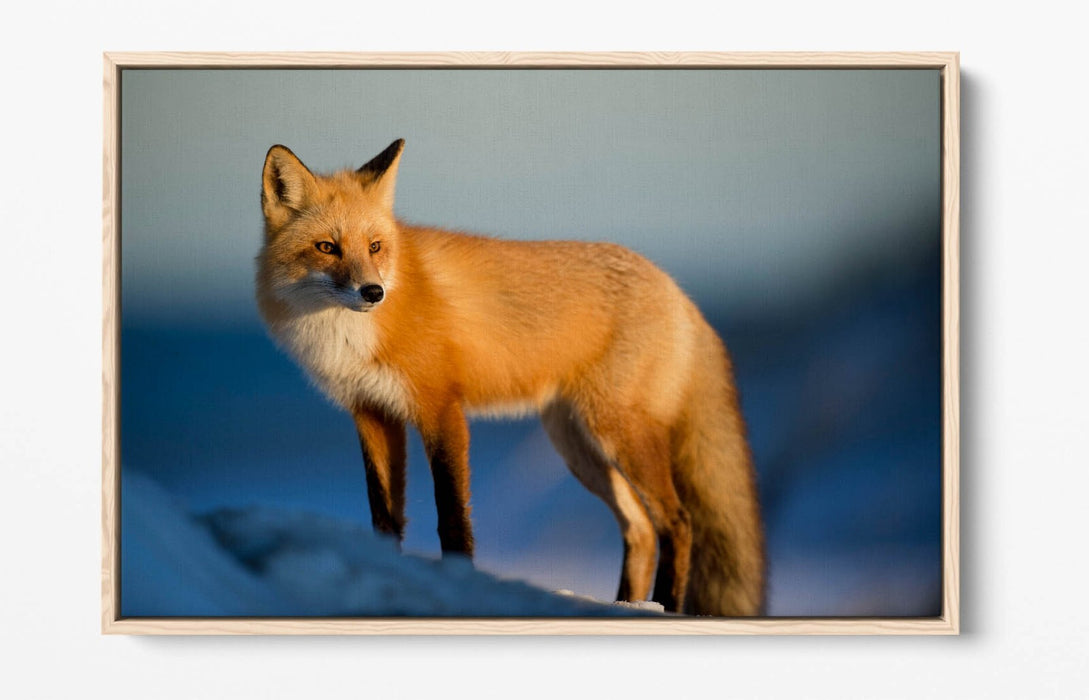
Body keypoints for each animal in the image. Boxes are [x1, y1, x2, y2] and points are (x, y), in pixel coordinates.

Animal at [256, 139, 765, 616]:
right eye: (327, 247)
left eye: (375, 247)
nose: (373, 292)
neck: (349, 336)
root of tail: (678, 291)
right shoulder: (372, 413)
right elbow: (384, 517)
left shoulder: (441, 408)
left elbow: (452, 516)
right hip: (578, 447)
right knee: (640, 528)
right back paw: (626, 606)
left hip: (618, 433)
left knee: (678, 522)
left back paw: (664, 606)